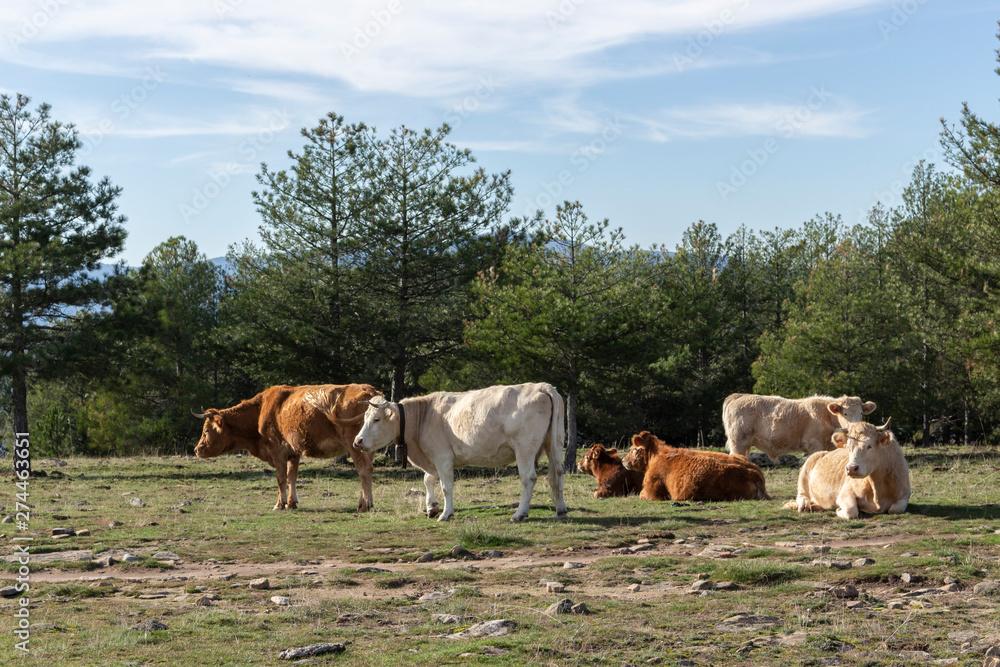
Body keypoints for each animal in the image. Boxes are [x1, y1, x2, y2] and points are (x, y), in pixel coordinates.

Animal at [193, 386, 380, 512]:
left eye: (206, 430)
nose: (196, 449)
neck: (261, 409)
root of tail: (369, 390)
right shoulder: (293, 452)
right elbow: (292, 477)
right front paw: (291, 503)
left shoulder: (277, 451)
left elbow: (281, 478)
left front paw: (279, 504)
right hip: (367, 448)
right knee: (368, 470)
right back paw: (362, 502)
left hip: (355, 446)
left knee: (364, 469)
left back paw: (365, 505)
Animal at [354, 386, 572, 520]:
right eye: (365, 418)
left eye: (376, 419)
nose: (357, 441)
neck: (425, 415)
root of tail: (541, 386)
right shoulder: (434, 459)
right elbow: (428, 479)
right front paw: (431, 507)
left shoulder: (442, 457)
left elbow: (446, 486)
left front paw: (446, 513)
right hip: (555, 443)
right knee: (558, 473)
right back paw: (561, 510)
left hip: (524, 448)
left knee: (529, 478)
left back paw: (519, 514)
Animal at [620, 434, 768, 500]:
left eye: (633, 449)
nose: (623, 460)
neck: (656, 455)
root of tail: (755, 472)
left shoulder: (652, 491)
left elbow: (641, 494)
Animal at [784, 418, 912, 520]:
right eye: (849, 447)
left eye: (869, 446)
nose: (851, 468)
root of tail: (822, 452)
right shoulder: (844, 493)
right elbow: (851, 511)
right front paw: (838, 510)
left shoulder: (904, 494)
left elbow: (895, 509)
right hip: (804, 475)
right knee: (801, 496)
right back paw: (806, 505)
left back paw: (816, 506)